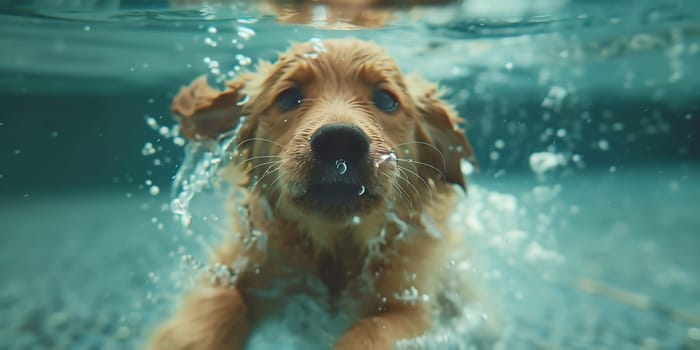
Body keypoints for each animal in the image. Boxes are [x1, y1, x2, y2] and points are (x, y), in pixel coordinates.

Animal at [148, 39, 476, 350]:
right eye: (288, 97)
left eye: (386, 100)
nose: (340, 142)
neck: (335, 246)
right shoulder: (240, 261)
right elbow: (219, 307)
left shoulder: (409, 299)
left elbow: (374, 329)